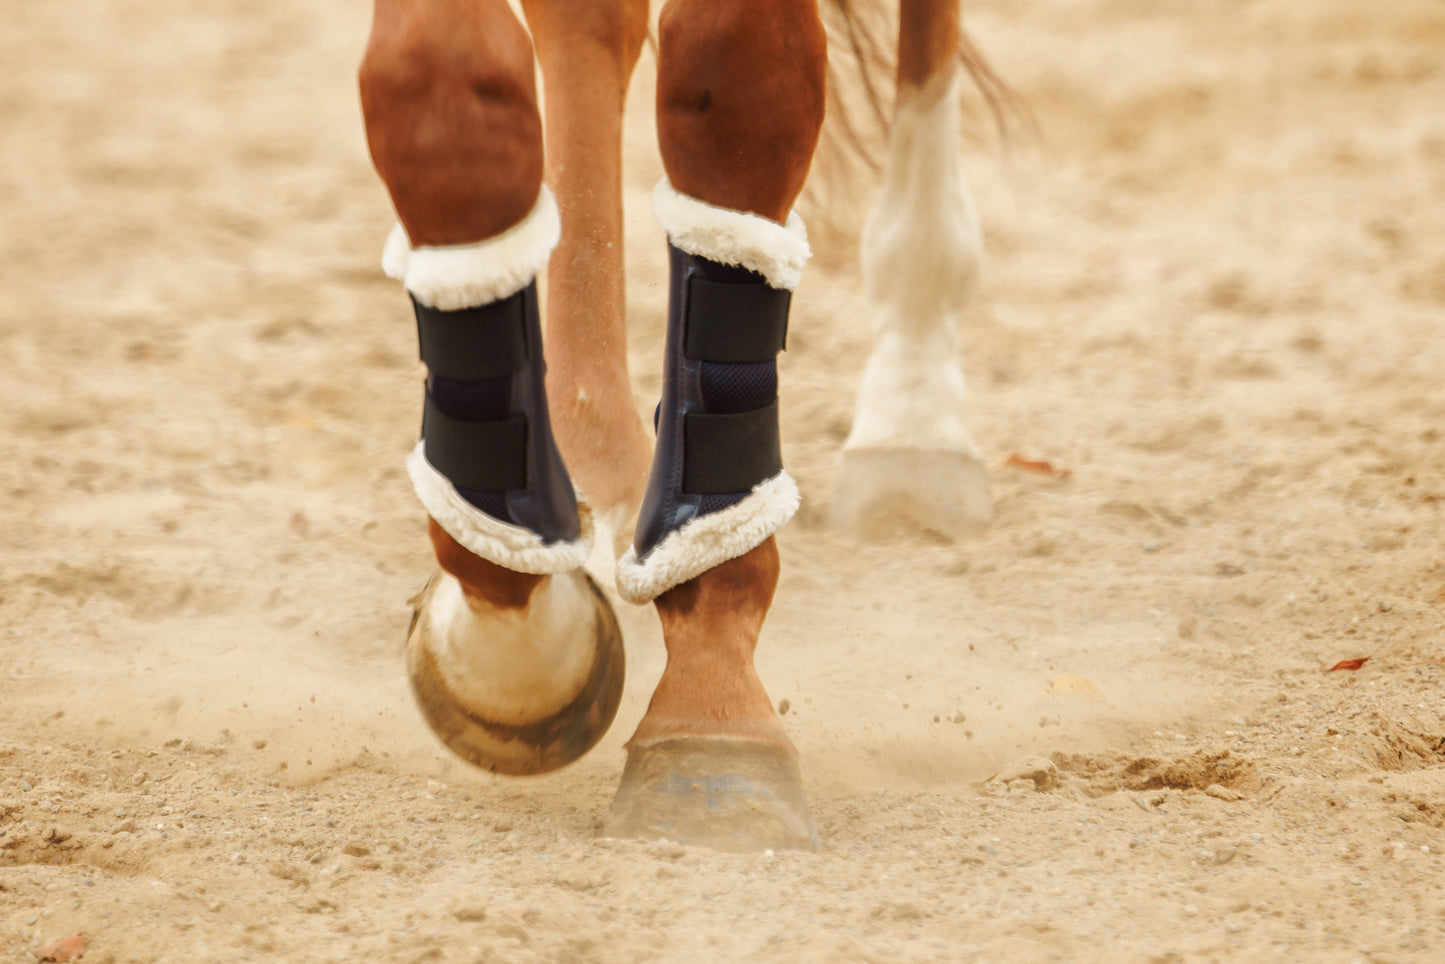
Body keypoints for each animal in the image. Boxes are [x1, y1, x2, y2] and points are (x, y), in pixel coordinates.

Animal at [356, 0, 999, 849]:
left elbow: (735, 80)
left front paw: (710, 690)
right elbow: (437, 84)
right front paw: (512, 642)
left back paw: (913, 417)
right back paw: (603, 468)